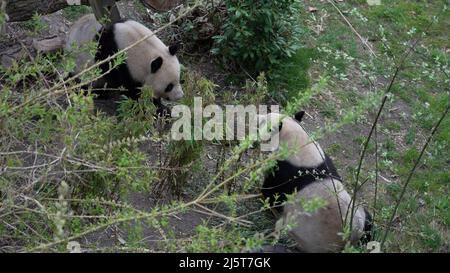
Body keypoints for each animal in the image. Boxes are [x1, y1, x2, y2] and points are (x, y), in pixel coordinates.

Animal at [256, 111, 372, 252]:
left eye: (263, 123)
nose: (256, 117)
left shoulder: (286, 171)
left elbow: (272, 192)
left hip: (303, 238)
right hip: (358, 212)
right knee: (368, 220)